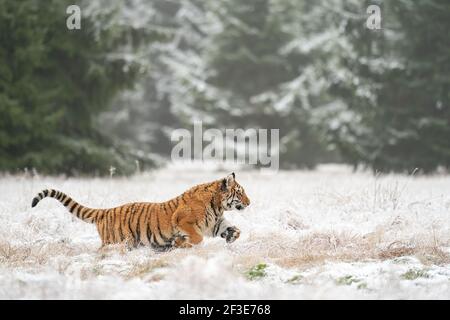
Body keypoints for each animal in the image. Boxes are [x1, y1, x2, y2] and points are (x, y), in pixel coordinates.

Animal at [30, 172, 250, 250]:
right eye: (240, 193)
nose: (249, 203)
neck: (217, 205)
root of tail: (106, 211)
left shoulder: (215, 223)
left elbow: (234, 229)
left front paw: (232, 236)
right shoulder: (184, 221)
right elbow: (197, 237)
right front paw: (180, 243)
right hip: (116, 241)